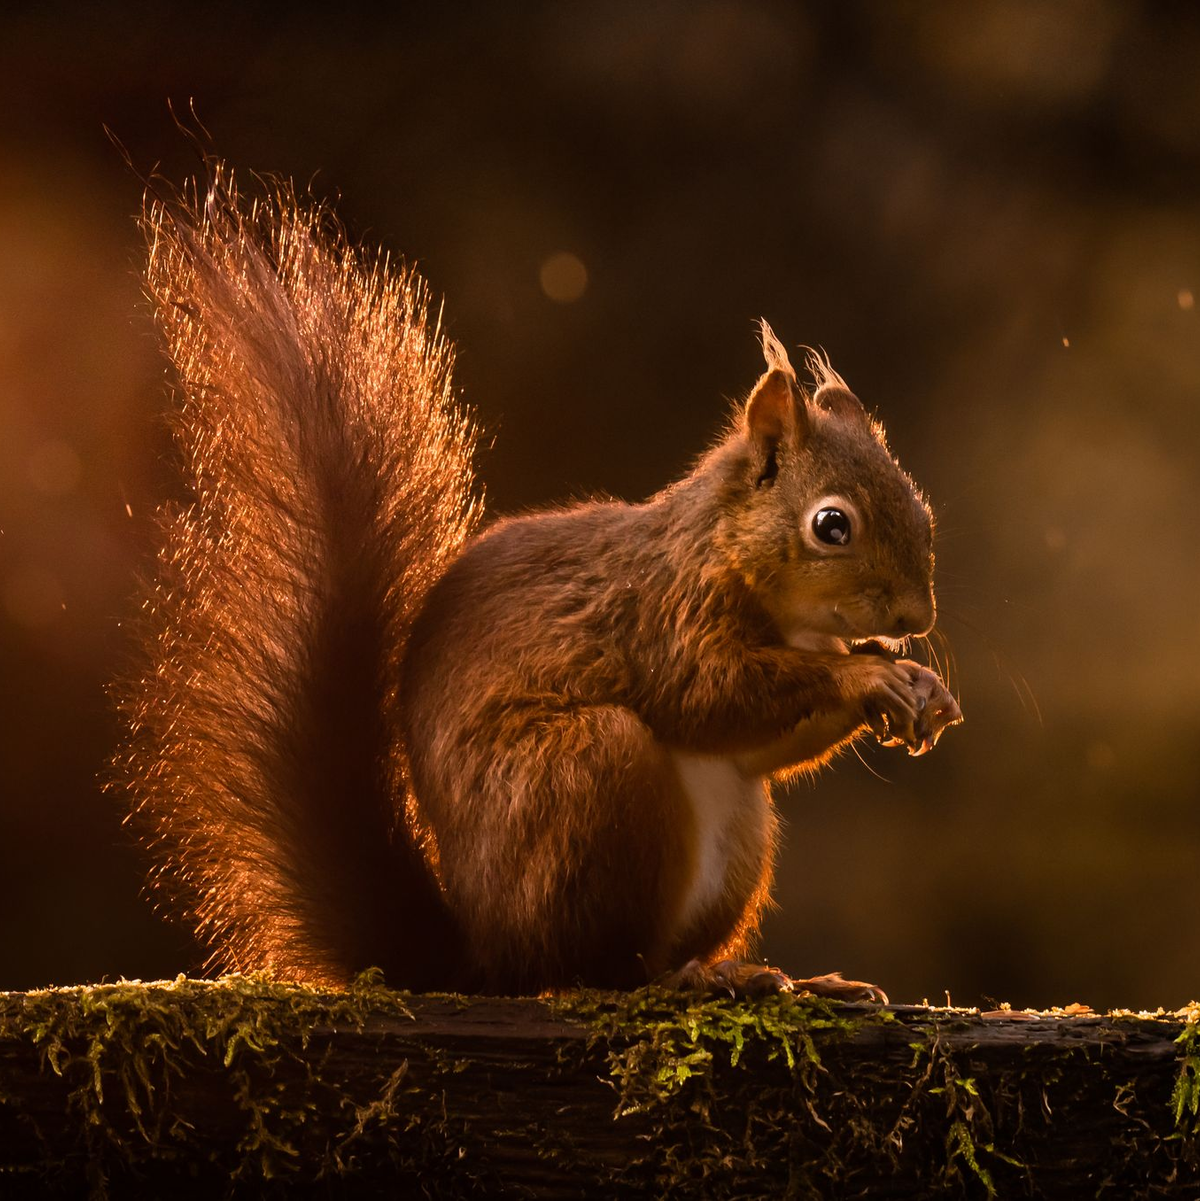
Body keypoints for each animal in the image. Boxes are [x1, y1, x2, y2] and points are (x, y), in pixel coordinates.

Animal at [114, 170, 961, 1001]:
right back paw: (691, 979)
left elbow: (761, 745)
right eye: (831, 525)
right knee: (592, 964)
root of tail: (484, 953)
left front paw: (918, 685)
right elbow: (707, 692)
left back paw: (774, 975)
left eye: (923, 509)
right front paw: (868, 675)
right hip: (584, 777)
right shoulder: (665, 611)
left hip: (734, 832)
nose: (917, 617)